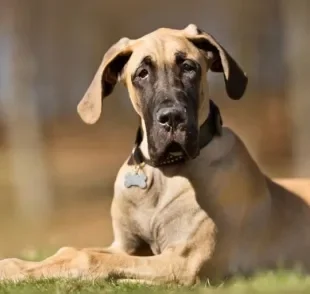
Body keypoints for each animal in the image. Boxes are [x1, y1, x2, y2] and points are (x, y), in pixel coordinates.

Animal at [0, 24, 310, 286]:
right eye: (142, 73)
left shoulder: (183, 261)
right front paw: (15, 265)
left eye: (189, 67)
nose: (172, 117)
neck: (164, 171)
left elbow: (86, 256)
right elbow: (71, 249)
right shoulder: (125, 246)